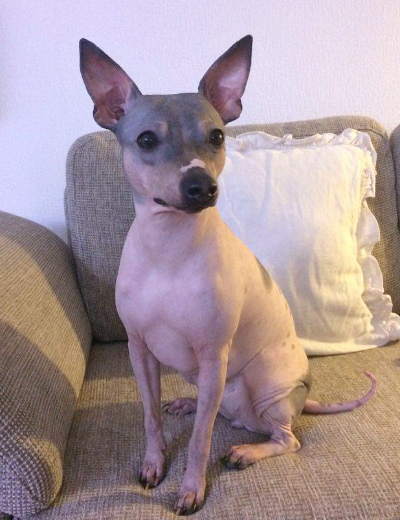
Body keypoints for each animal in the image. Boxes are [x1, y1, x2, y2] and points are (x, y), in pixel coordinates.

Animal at [79, 35, 376, 515]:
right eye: (146, 139)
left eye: (217, 136)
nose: (201, 185)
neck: (169, 250)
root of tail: (301, 399)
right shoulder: (140, 351)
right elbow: (150, 418)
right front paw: (153, 464)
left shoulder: (212, 356)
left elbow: (199, 441)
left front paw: (191, 488)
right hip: (209, 381)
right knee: (214, 409)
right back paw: (188, 403)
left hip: (261, 385)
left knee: (285, 439)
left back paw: (246, 451)